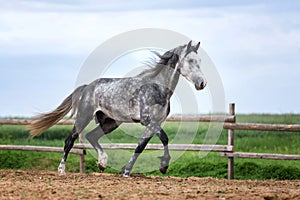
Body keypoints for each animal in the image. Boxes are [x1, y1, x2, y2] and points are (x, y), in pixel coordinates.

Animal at [27, 40, 206, 177]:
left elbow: (141, 146)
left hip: (110, 122)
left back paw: (102, 163)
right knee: (69, 140)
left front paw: (126, 171)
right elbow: (165, 138)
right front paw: (163, 166)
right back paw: (61, 170)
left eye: (200, 61)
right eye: (190, 61)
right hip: (84, 116)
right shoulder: (148, 120)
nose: (202, 84)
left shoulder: (155, 123)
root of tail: (86, 87)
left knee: (92, 136)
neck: (157, 87)